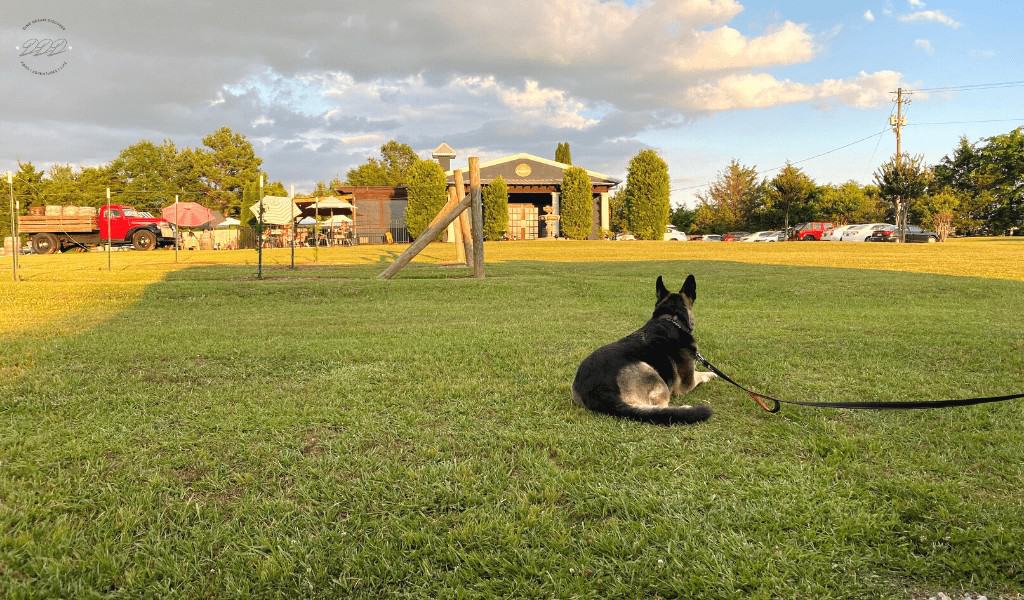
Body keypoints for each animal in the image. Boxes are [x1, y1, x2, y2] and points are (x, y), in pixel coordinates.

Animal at [573, 272, 716, 421]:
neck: (671, 317)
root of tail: (598, 389)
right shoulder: (688, 383)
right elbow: (700, 374)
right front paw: (711, 374)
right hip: (653, 375)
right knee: (659, 408)